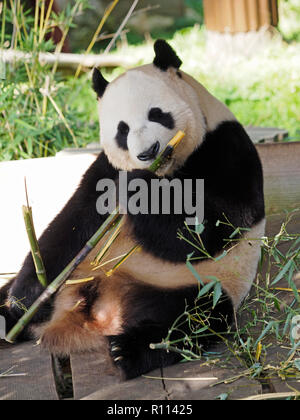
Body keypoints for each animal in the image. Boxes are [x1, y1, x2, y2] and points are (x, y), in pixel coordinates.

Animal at [0, 41, 264, 378]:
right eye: (122, 130)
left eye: (157, 114)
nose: (148, 152)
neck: (165, 170)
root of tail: (97, 313)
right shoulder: (104, 170)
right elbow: (70, 226)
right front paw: (24, 299)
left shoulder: (225, 148)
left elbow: (208, 233)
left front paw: (140, 188)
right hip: (80, 275)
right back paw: (9, 318)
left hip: (192, 284)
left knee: (196, 316)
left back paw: (127, 351)